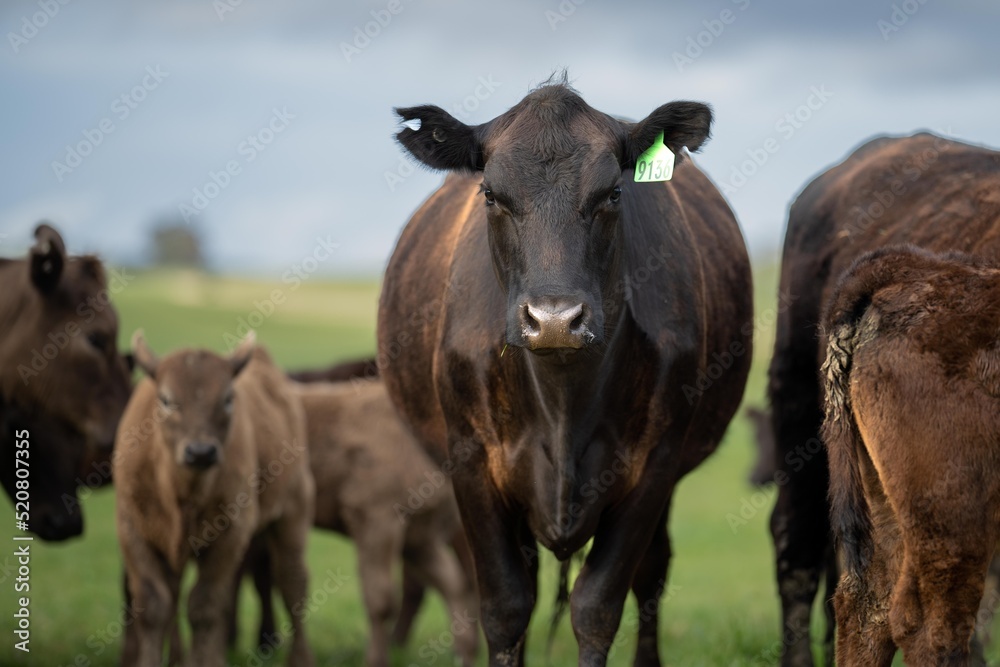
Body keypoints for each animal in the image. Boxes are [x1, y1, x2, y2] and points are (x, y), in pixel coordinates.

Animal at [112, 334, 312, 667]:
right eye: (166, 399)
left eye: (228, 399)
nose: (200, 452)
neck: (182, 494)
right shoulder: (133, 530)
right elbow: (154, 605)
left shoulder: (231, 533)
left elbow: (203, 606)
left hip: (293, 515)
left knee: (292, 583)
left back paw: (300, 659)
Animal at [376, 81, 752, 664]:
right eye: (490, 195)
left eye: (614, 194)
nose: (554, 319)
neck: (562, 401)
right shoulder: (471, 462)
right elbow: (505, 607)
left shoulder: (655, 464)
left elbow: (597, 607)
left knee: (652, 573)